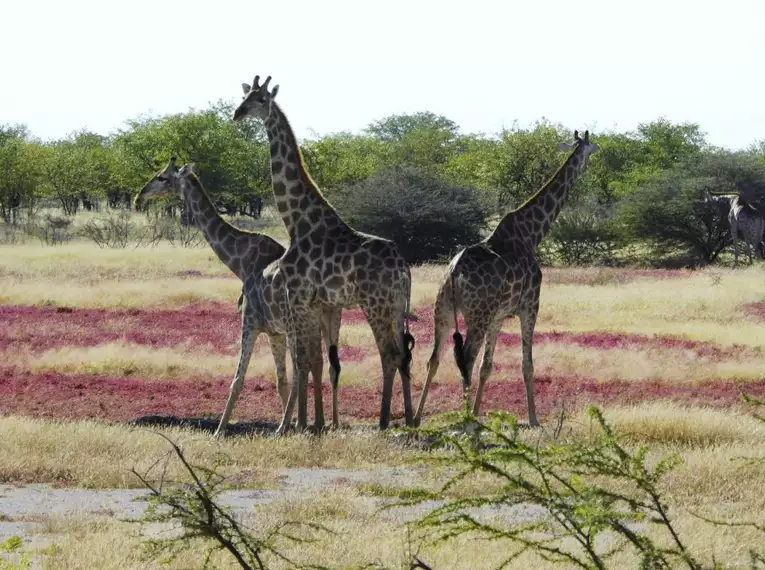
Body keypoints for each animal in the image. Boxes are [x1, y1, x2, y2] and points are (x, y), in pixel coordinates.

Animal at [134, 158, 344, 432]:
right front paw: (291, 424)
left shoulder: (250, 323)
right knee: (327, 364)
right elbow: (280, 381)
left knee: (304, 366)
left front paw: (220, 430)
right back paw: (327, 424)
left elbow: (238, 379)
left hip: (297, 323)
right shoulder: (274, 331)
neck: (241, 262)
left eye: (162, 177)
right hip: (329, 320)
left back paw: (293, 426)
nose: (139, 196)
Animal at [233, 74, 414, 430]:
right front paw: (313, 423)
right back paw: (412, 419)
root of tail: (404, 269)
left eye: (262, 99)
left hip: (375, 304)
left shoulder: (298, 298)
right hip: (397, 307)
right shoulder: (318, 303)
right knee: (404, 356)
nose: (237, 113)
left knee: (389, 355)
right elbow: (315, 361)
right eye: (244, 95)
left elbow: (304, 360)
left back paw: (384, 421)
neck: (298, 222)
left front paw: (299, 425)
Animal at [412, 129, 596, 426]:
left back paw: (418, 418)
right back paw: (465, 420)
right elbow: (527, 364)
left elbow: (487, 367)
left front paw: (479, 410)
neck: (532, 234)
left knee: (435, 359)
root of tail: (454, 273)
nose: (594, 156)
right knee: (465, 359)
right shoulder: (530, 306)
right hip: (477, 315)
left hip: (443, 310)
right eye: (591, 147)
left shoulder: (498, 316)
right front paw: (533, 418)